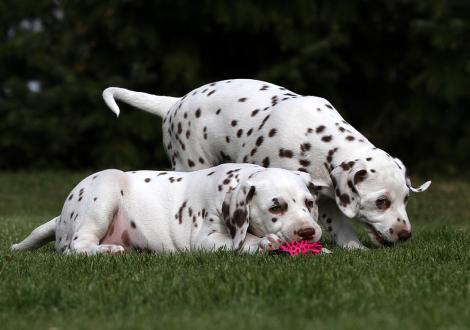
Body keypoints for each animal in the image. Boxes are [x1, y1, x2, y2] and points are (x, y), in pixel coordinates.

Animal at [12, 164, 324, 255]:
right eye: (276, 207)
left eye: (309, 203)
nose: (308, 232)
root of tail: (61, 217)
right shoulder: (206, 240)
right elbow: (242, 239)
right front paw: (261, 242)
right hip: (106, 186)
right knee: (77, 248)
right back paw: (108, 251)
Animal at [104, 80, 432, 250]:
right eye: (381, 202)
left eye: (406, 200)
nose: (405, 234)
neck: (316, 138)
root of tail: (173, 103)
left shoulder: (324, 198)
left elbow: (341, 226)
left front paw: (355, 249)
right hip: (190, 163)